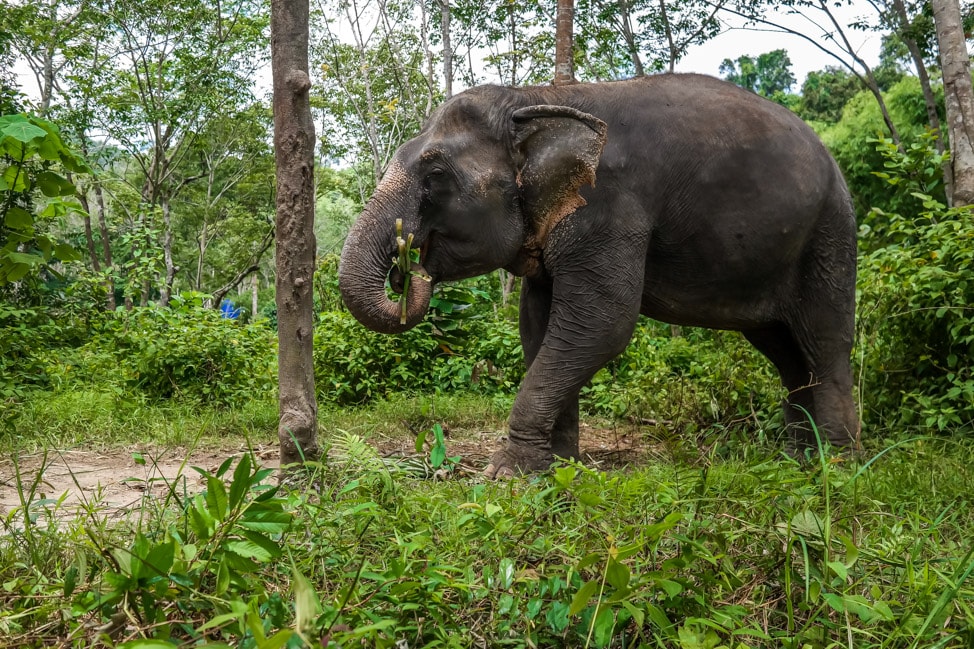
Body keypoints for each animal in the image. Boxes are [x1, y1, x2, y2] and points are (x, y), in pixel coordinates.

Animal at [338, 73, 860, 478]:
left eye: (436, 174)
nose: (410, 263)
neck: (534, 97)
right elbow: (537, 325)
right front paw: (558, 464)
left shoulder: (607, 207)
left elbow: (601, 323)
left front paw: (507, 472)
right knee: (785, 352)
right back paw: (795, 460)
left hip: (829, 235)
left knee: (825, 339)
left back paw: (835, 465)